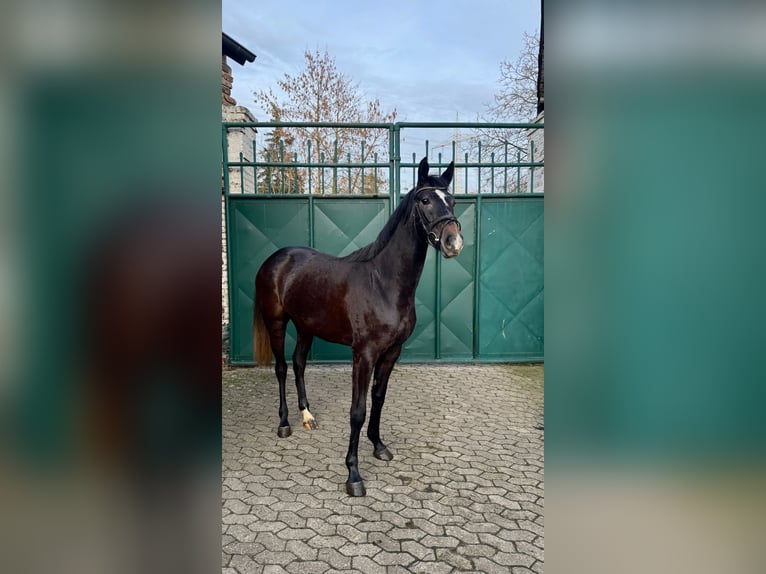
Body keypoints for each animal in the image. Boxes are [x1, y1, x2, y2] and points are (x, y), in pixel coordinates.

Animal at [252, 157, 463, 496]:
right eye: (425, 200)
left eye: (453, 201)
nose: (453, 242)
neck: (384, 284)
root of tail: (277, 258)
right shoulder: (363, 355)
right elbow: (357, 411)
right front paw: (353, 474)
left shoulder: (391, 353)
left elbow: (378, 398)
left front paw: (378, 446)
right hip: (277, 323)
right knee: (282, 368)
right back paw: (284, 424)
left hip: (306, 326)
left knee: (298, 364)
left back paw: (307, 416)